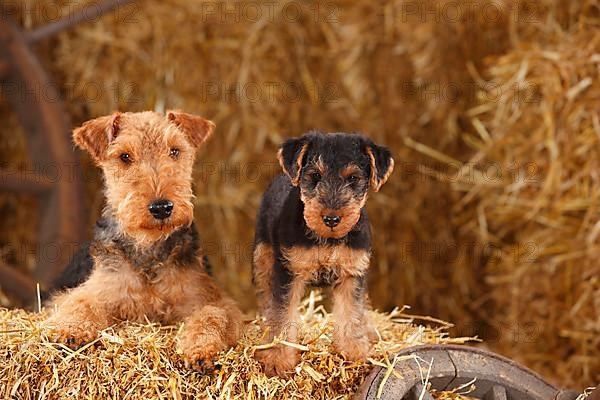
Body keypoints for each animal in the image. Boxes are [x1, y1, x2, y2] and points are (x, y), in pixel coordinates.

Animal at [252, 130, 394, 376]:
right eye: (315, 175)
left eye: (353, 178)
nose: (331, 219)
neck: (328, 241)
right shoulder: (288, 272)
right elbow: (282, 314)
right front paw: (277, 358)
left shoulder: (352, 274)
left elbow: (351, 314)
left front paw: (355, 352)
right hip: (263, 257)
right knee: (266, 298)